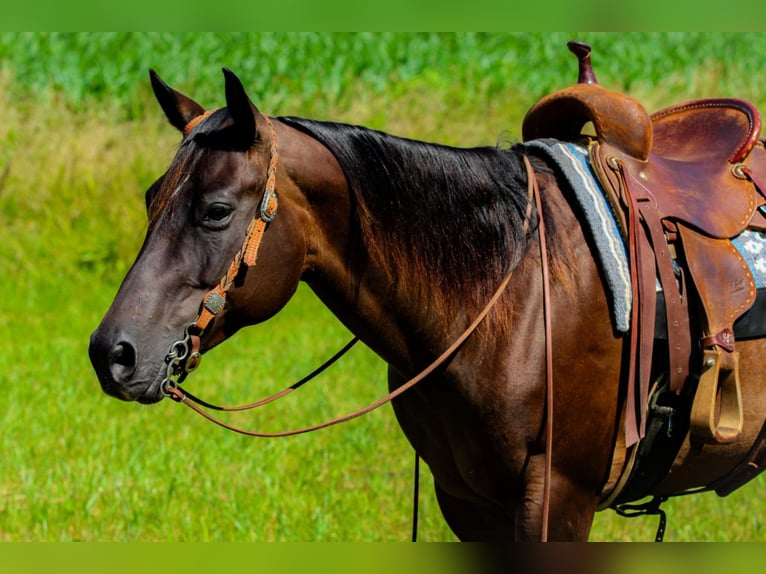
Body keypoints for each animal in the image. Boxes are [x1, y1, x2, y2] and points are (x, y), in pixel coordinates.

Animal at [88, 67, 766, 541]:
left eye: (216, 210)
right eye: (151, 198)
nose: (111, 353)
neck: (515, 296)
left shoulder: (560, 498)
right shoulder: (466, 502)